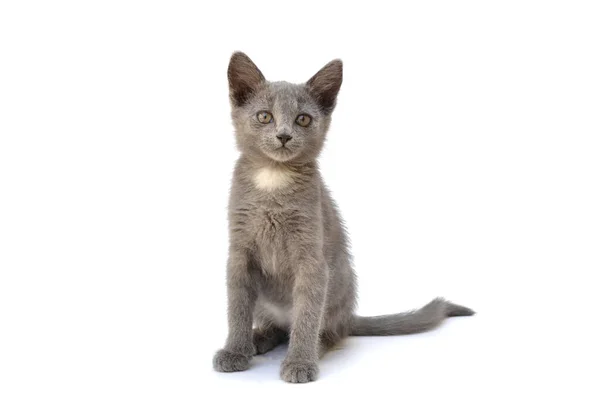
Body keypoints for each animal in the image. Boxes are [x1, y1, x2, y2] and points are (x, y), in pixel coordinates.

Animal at [211, 51, 474, 382]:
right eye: (264, 116)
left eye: (303, 119)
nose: (283, 135)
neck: (273, 178)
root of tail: (349, 316)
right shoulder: (239, 253)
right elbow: (237, 307)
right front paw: (234, 351)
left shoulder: (312, 258)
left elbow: (307, 314)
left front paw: (300, 362)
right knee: (278, 327)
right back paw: (258, 339)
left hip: (336, 291)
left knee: (325, 331)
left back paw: (312, 348)